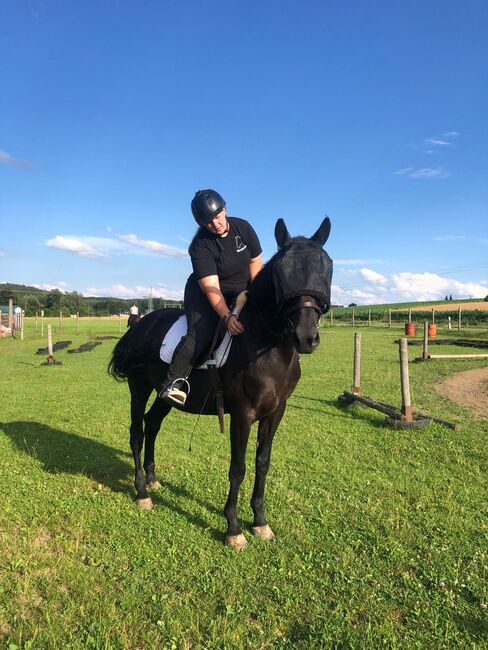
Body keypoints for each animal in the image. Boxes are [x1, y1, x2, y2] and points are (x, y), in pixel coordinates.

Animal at [108, 216, 334, 548]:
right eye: (281, 271)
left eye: (326, 265)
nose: (306, 337)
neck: (266, 344)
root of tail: (141, 324)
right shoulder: (243, 413)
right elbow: (238, 468)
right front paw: (233, 528)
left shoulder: (275, 413)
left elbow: (262, 462)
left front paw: (260, 522)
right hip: (139, 387)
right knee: (137, 431)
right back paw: (141, 492)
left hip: (165, 394)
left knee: (152, 423)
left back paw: (152, 478)